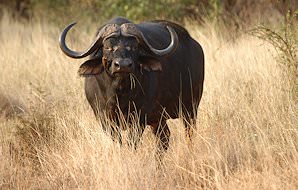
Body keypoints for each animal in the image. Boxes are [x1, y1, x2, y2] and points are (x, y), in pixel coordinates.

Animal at [59, 17, 204, 152]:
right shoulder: (104, 118)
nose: (122, 65)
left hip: (190, 109)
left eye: (134, 47)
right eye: (108, 47)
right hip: (159, 118)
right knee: (164, 138)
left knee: (188, 134)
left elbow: (131, 143)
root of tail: (195, 46)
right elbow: (117, 142)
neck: (118, 94)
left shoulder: (139, 118)